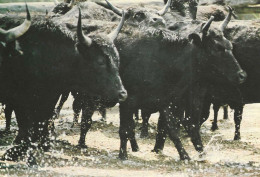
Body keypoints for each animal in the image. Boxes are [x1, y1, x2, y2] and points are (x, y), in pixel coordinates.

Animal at [0, 8, 127, 160]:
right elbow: (26, 127)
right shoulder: (20, 100)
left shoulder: (49, 100)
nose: (122, 94)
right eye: (100, 61)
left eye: (117, 60)